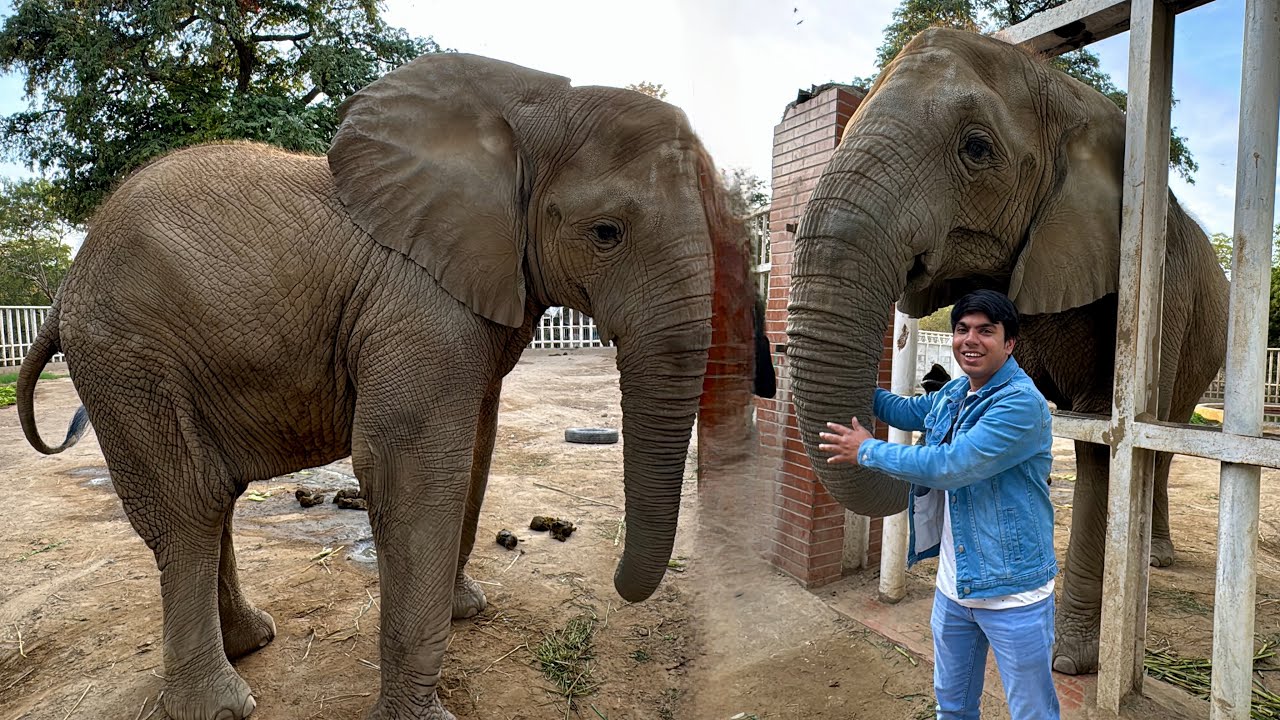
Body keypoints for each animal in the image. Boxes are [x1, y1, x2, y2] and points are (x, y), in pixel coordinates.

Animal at [16, 52, 756, 720]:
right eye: (606, 233)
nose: (618, 585)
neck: (533, 113)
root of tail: (65, 287)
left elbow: (476, 451)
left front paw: (466, 611)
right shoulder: (416, 303)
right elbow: (412, 466)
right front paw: (423, 712)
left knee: (211, 496)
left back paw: (254, 642)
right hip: (128, 357)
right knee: (186, 505)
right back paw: (223, 705)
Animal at [785, 28, 1228, 676]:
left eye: (976, 148)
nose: (931, 375)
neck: (1072, 96)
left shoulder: (1152, 282)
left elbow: (1101, 444)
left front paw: (1067, 661)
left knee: (1167, 437)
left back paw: (1156, 557)